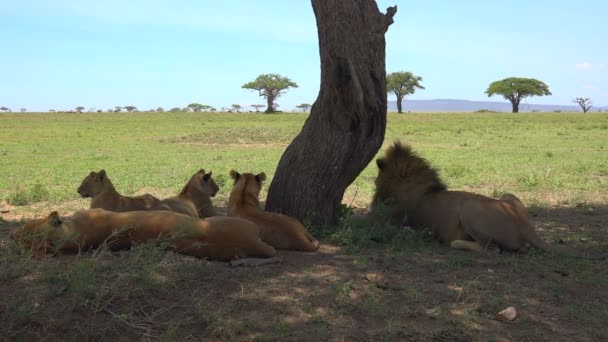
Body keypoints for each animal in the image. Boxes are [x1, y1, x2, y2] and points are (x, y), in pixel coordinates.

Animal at [370, 141, 592, 256]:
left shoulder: (395, 218)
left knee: (492, 249)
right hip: (508, 196)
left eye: (375, 179)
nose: (374, 202)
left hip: (470, 207)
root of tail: (524, 226)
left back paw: (455, 243)